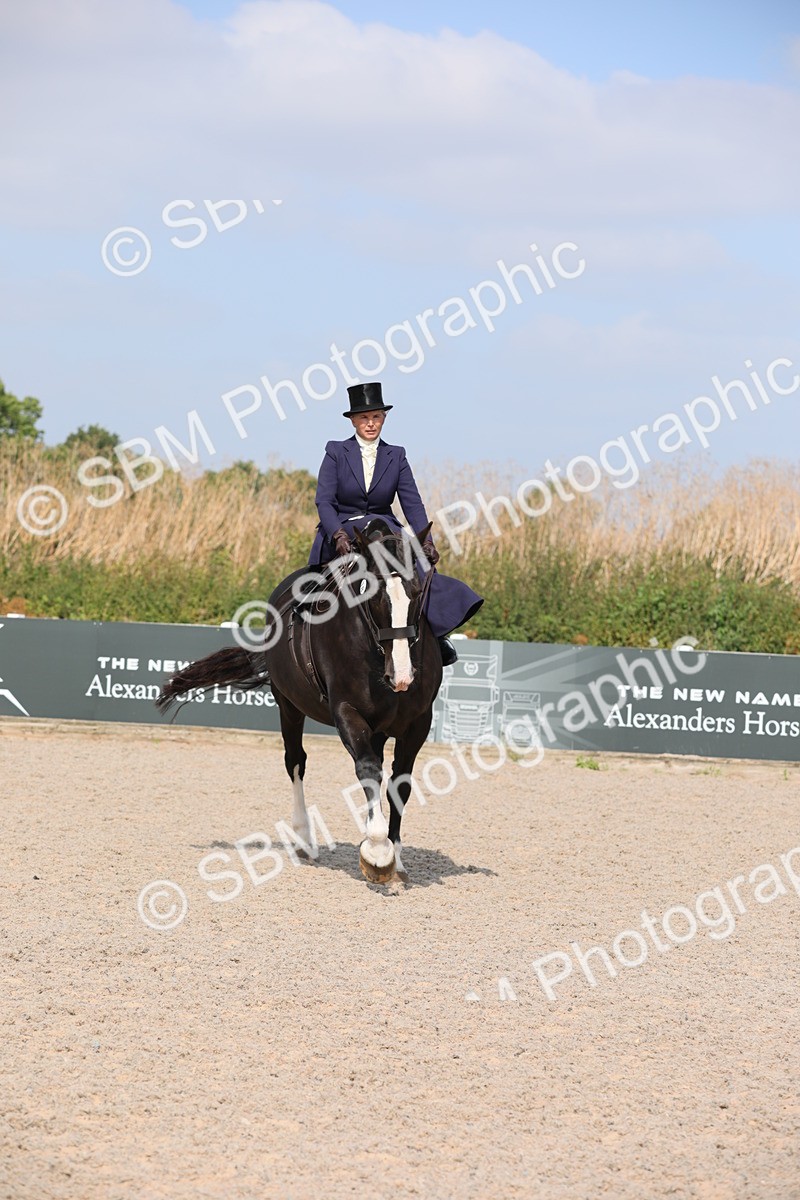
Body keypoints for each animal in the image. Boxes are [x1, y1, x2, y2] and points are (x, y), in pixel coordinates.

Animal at [156, 519, 443, 884]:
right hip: (289, 707)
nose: (403, 676)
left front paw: (396, 856)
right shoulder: (346, 712)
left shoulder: (418, 723)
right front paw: (378, 853)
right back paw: (305, 839)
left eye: (417, 593)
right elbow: (366, 768)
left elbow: (399, 783)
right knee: (296, 762)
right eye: (375, 595)